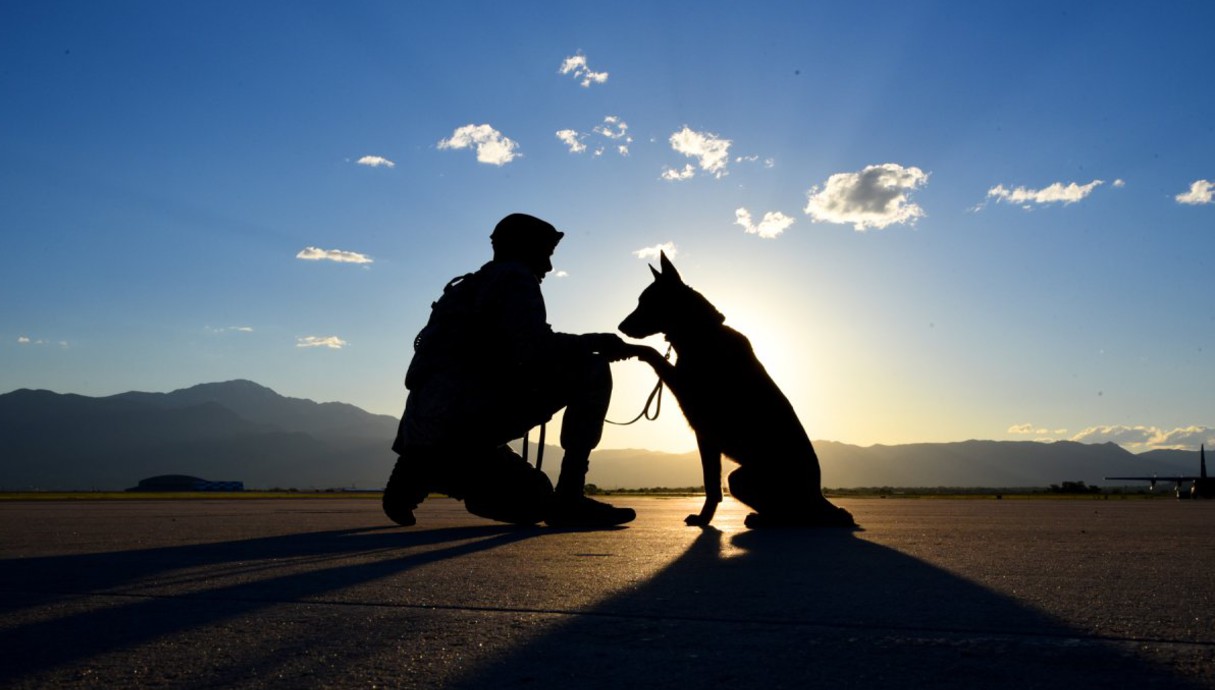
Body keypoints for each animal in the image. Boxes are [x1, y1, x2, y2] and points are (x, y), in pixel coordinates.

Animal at [617, 253, 855, 527]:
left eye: (646, 302)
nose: (620, 327)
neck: (702, 331)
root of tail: (819, 496)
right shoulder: (705, 436)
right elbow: (712, 485)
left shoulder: (690, 401)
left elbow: (653, 353)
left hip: (740, 478)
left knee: (799, 516)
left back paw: (764, 520)